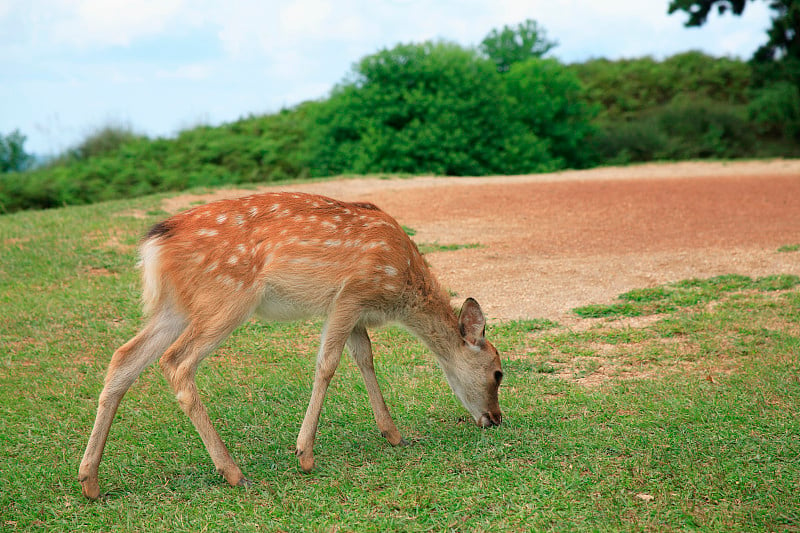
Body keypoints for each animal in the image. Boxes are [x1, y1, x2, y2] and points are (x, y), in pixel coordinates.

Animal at [76, 191, 500, 498]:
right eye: (498, 372)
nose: (495, 418)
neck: (401, 286)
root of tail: (153, 246)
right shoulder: (350, 294)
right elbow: (327, 364)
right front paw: (305, 455)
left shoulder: (353, 311)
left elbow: (365, 358)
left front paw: (394, 435)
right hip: (227, 297)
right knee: (176, 362)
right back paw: (234, 473)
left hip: (174, 307)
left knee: (123, 358)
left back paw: (90, 481)